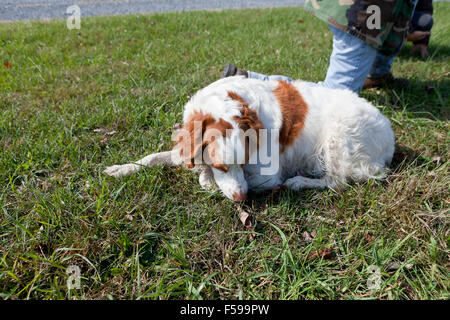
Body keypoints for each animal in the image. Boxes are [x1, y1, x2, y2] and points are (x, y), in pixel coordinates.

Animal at [104, 76, 394, 201]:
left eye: (242, 164)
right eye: (222, 166)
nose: (242, 198)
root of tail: (390, 136)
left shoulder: (269, 175)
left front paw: (206, 179)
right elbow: (154, 157)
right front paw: (122, 168)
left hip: (338, 136)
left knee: (337, 182)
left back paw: (300, 182)